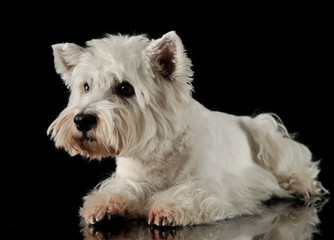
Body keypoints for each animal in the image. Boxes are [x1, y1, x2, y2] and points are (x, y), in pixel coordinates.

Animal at [47, 31, 326, 226]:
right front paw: (103, 206)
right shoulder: (130, 179)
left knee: (296, 167)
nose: (82, 121)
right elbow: (119, 189)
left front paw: (167, 209)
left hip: (268, 137)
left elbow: (185, 194)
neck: (156, 153)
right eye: (86, 86)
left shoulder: (209, 187)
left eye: (125, 88)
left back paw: (305, 187)